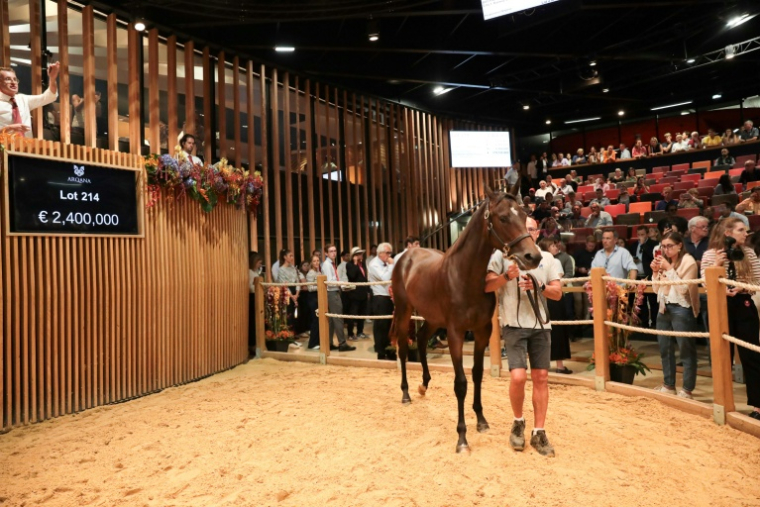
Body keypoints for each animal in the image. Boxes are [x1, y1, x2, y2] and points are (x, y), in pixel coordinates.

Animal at [390, 185, 541, 453]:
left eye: (524, 216)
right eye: (503, 218)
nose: (532, 257)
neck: (465, 275)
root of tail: (407, 255)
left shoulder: (481, 332)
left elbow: (478, 374)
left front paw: (481, 420)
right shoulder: (455, 334)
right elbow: (460, 383)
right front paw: (462, 437)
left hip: (432, 318)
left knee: (421, 340)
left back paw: (424, 384)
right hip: (404, 310)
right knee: (404, 349)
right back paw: (406, 393)